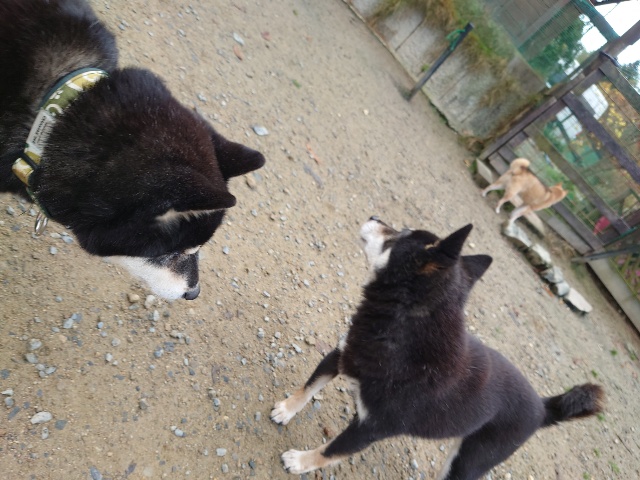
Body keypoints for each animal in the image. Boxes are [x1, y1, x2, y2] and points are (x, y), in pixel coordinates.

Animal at [271, 217, 603, 478]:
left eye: (397, 235)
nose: (374, 217)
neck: (401, 333)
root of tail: (543, 406)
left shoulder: (371, 428)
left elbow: (330, 451)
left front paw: (300, 461)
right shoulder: (342, 355)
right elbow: (308, 388)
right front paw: (286, 411)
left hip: (468, 462)